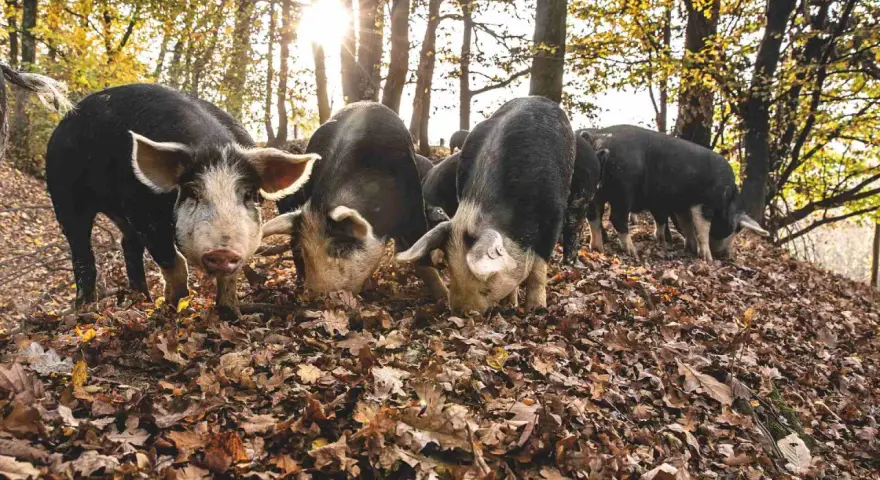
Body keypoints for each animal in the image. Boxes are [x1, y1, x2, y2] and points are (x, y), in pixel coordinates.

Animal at [46, 83, 318, 318]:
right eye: (192, 192)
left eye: (248, 195)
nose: (222, 251)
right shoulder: (144, 213)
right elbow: (175, 263)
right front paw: (171, 309)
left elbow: (230, 278)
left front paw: (231, 314)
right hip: (63, 193)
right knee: (81, 251)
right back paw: (85, 309)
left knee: (128, 245)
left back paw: (142, 299)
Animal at [261, 102, 447, 299]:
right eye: (306, 251)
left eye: (341, 249)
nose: (317, 295)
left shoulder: (413, 200)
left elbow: (419, 245)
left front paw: (443, 297)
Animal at [396, 97, 575, 314]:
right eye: (450, 266)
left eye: (488, 278)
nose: (459, 311)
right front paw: (511, 304)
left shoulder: (554, 213)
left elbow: (538, 268)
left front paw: (535, 309)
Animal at [581, 125, 768, 261]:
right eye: (735, 229)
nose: (726, 256)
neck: (728, 200)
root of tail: (598, 138)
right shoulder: (706, 203)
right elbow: (702, 229)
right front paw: (707, 259)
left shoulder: (683, 205)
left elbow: (687, 225)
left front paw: (690, 248)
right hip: (624, 189)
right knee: (616, 218)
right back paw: (633, 253)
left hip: (596, 191)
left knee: (593, 216)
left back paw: (597, 248)